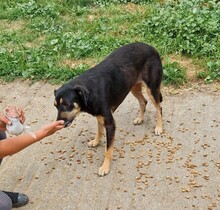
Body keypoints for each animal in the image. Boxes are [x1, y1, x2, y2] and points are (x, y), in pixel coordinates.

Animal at [54, 42, 162, 176]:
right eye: (55, 105)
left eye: (67, 104)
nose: (59, 123)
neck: (90, 92)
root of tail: (152, 47)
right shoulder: (100, 116)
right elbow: (99, 130)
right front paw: (96, 141)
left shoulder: (110, 123)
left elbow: (108, 149)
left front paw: (105, 167)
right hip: (133, 86)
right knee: (144, 101)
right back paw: (140, 118)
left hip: (152, 88)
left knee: (159, 107)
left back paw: (159, 127)